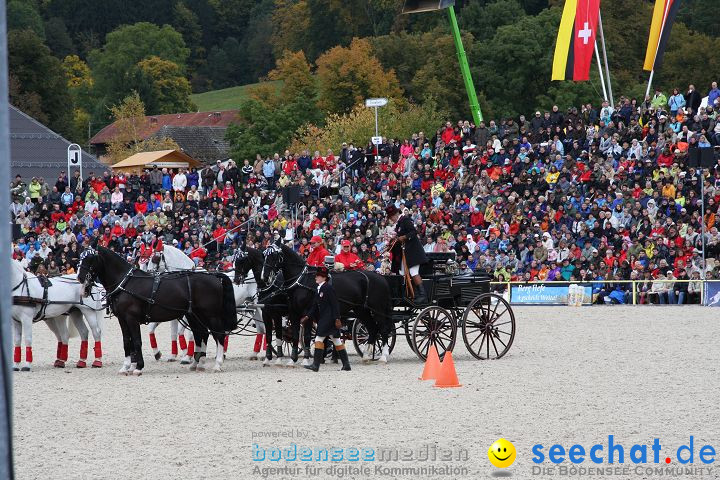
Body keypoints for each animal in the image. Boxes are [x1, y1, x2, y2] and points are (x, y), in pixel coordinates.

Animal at [79, 246, 236, 374]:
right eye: (81, 258)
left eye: (90, 259)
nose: (80, 278)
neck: (125, 283)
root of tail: (213, 275)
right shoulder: (122, 319)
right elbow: (127, 342)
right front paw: (126, 367)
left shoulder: (131, 318)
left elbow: (137, 341)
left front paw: (138, 367)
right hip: (195, 315)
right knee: (201, 334)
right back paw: (197, 364)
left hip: (211, 315)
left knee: (219, 335)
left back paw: (217, 364)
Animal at [260, 244, 394, 360]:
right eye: (264, 255)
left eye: (273, 255)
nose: (264, 277)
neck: (302, 280)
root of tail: (381, 278)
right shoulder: (294, 312)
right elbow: (295, 335)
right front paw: (293, 358)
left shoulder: (308, 312)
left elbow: (307, 337)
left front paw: (307, 358)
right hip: (361, 310)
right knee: (372, 329)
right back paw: (366, 355)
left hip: (378, 310)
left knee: (383, 329)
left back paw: (383, 356)